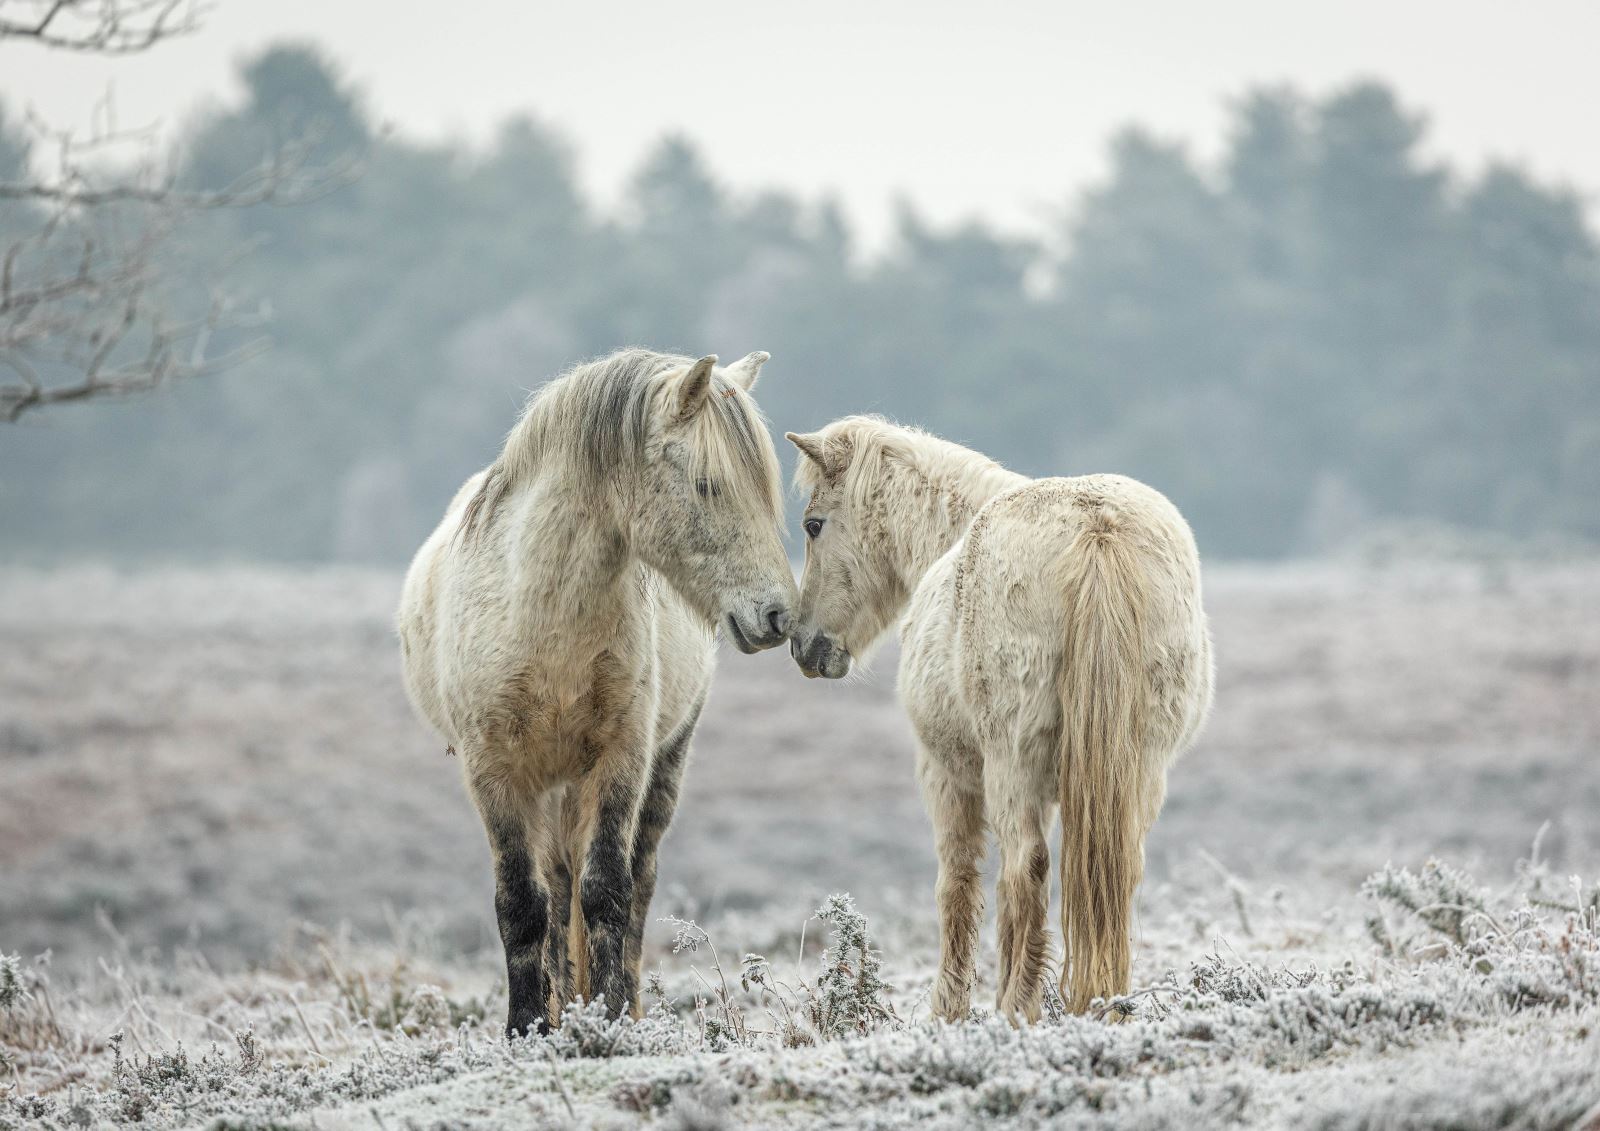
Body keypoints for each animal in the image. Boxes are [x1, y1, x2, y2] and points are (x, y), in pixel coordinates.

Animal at [400, 348, 800, 1036]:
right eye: (707, 485)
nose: (777, 616)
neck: (542, 614)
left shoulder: (621, 759)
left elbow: (608, 890)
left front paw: (611, 1019)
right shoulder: (494, 771)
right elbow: (522, 903)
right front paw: (526, 1028)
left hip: (658, 765)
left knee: (631, 883)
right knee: (556, 891)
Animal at [787, 419, 1209, 1023]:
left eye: (814, 525)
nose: (804, 645)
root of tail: (1098, 529)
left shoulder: (946, 775)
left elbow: (958, 885)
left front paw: (950, 1009)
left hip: (1011, 760)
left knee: (1025, 868)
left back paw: (1017, 1008)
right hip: (1142, 768)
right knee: (1115, 867)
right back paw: (1103, 1004)